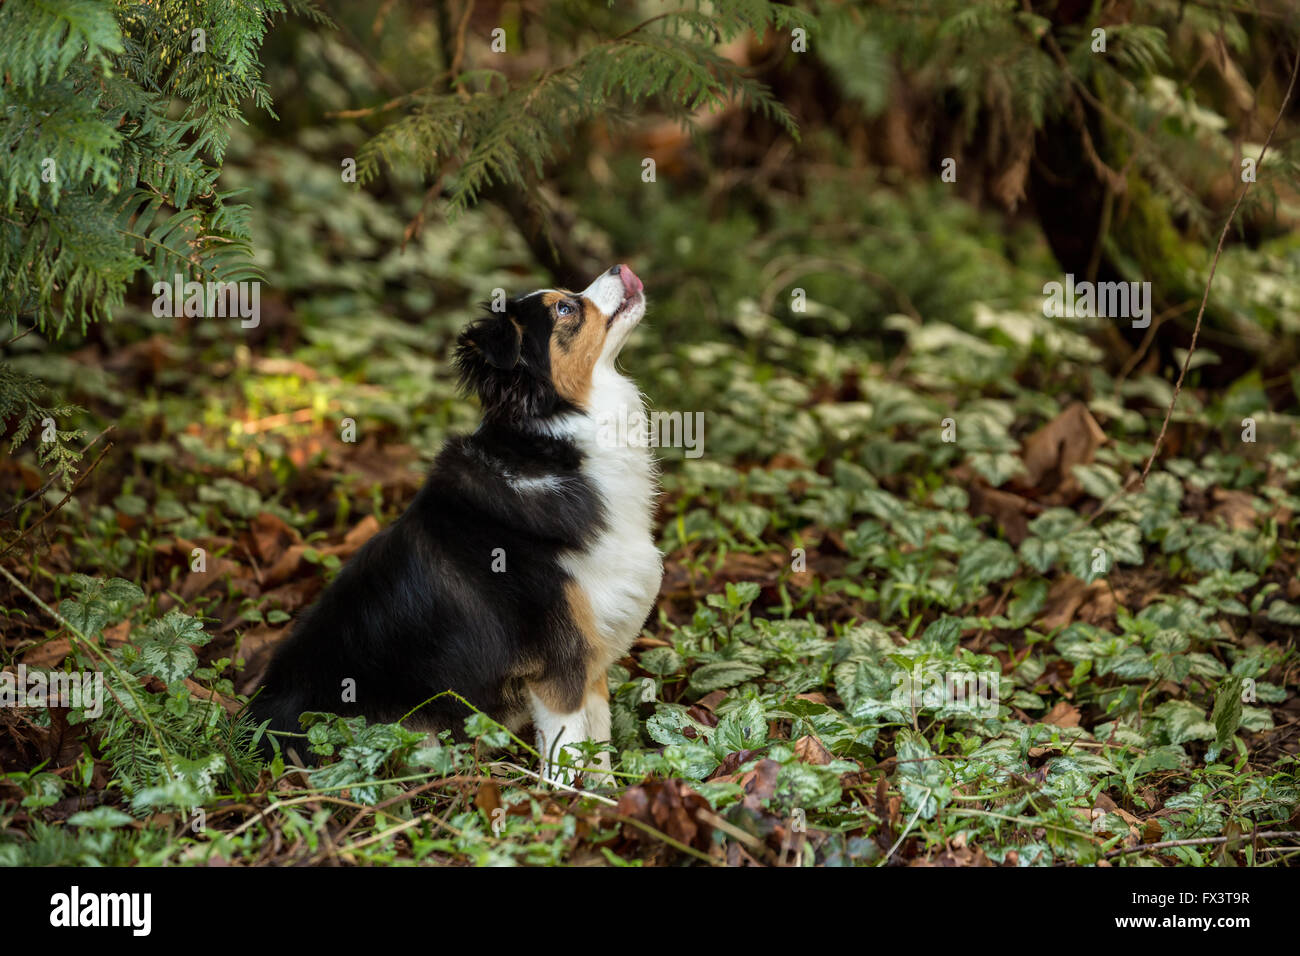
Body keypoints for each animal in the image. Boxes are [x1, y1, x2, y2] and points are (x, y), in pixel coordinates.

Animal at [249, 264, 665, 785]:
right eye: (565, 308)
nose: (619, 268)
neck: (557, 448)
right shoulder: (558, 662)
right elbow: (568, 756)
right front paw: (571, 803)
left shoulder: (591, 652)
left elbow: (600, 746)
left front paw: (612, 798)